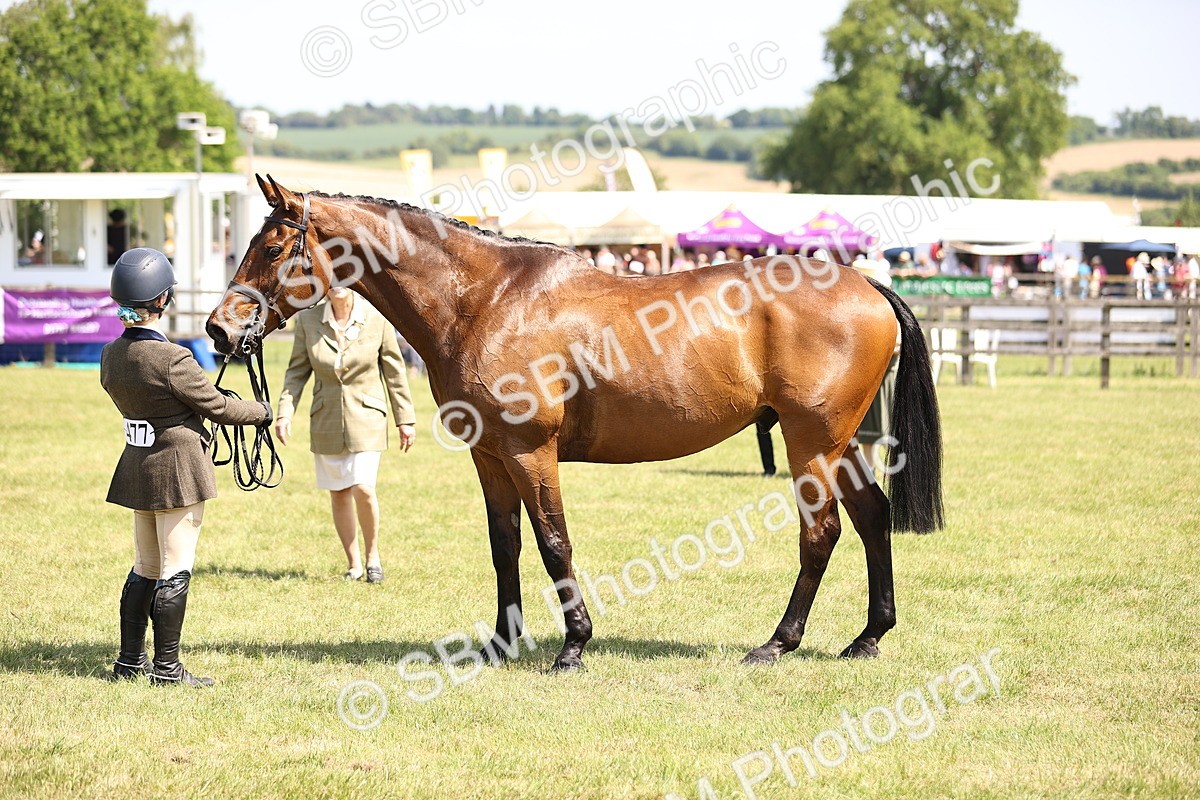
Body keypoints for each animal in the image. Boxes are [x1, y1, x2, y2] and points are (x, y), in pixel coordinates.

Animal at [207, 175, 943, 672]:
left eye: (272, 247)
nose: (218, 328)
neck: (486, 300)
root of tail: (867, 284)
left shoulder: (532, 452)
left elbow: (553, 542)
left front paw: (573, 645)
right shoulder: (489, 456)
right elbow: (505, 546)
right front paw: (502, 643)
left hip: (809, 444)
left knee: (821, 533)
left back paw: (778, 642)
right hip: (840, 444)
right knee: (873, 518)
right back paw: (867, 637)